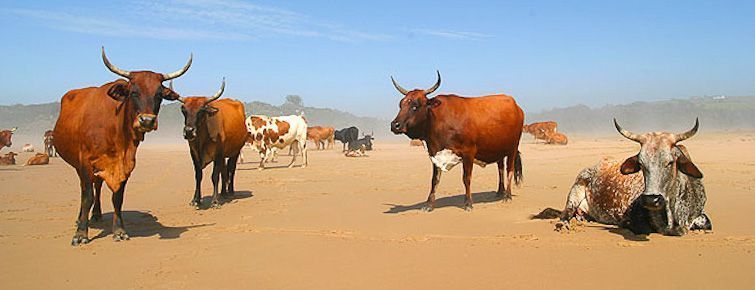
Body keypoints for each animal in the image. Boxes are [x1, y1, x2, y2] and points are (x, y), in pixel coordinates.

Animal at [52, 47, 189, 245]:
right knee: (85, 188)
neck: (115, 130)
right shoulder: (85, 162)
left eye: (159, 95)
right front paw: (80, 233)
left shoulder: (126, 164)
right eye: (133, 92)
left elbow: (117, 197)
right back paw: (81, 218)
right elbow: (87, 196)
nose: (147, 120)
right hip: (78, 165)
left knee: (98, 185)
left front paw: (119, 230)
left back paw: (97, 214)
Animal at [178, 80, 247, 210]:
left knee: (231, 169)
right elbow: (198, 175)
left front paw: (215, 201)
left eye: (201, 110)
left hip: (235, 152)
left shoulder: (218, 154)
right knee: (224, 171)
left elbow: (215, 176)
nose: (189, 131)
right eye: (184, 110)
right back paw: (223, 192)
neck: (202, 139)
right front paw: (196, 200)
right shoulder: (194, 154)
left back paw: (230, 191)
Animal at [390, 70, 524, 211]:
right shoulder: (435, 154)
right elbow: (434, 180)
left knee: (509, 169)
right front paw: (429, 204)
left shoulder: (468, 153)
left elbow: (466, 178)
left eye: (415, 106)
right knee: (500, 168)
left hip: (513, 147)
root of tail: (516, 106)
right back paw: (500, 192)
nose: (395, 125)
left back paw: (507, 195)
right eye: (401, 104)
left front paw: (468, 203)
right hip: (498, 148)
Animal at [556, 118, 716, 236]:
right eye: (641, 163)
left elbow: (706, 223)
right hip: (574, 193)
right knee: (566, 214)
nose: (651, 199)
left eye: (670, 162)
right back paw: (564, 225)